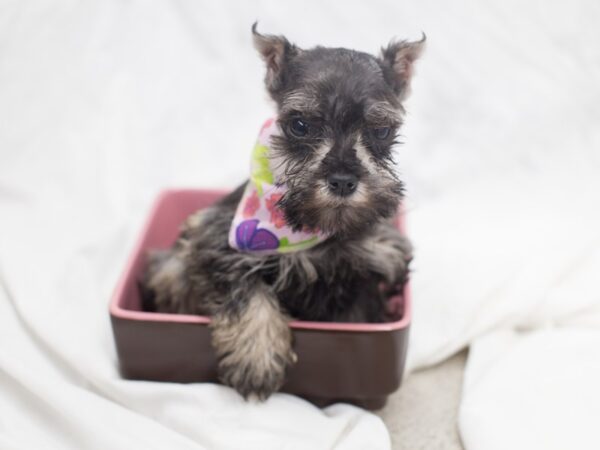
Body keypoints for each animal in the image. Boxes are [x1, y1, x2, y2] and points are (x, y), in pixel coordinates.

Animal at [141, 25, 422, 400]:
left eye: (381, 131)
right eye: (300, 126)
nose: (343, 181)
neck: (307, 231)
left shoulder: (371, 267)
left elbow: (357, 318)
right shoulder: (216, 242)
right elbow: (248, 293)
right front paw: (257, 359)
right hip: (171, 268)